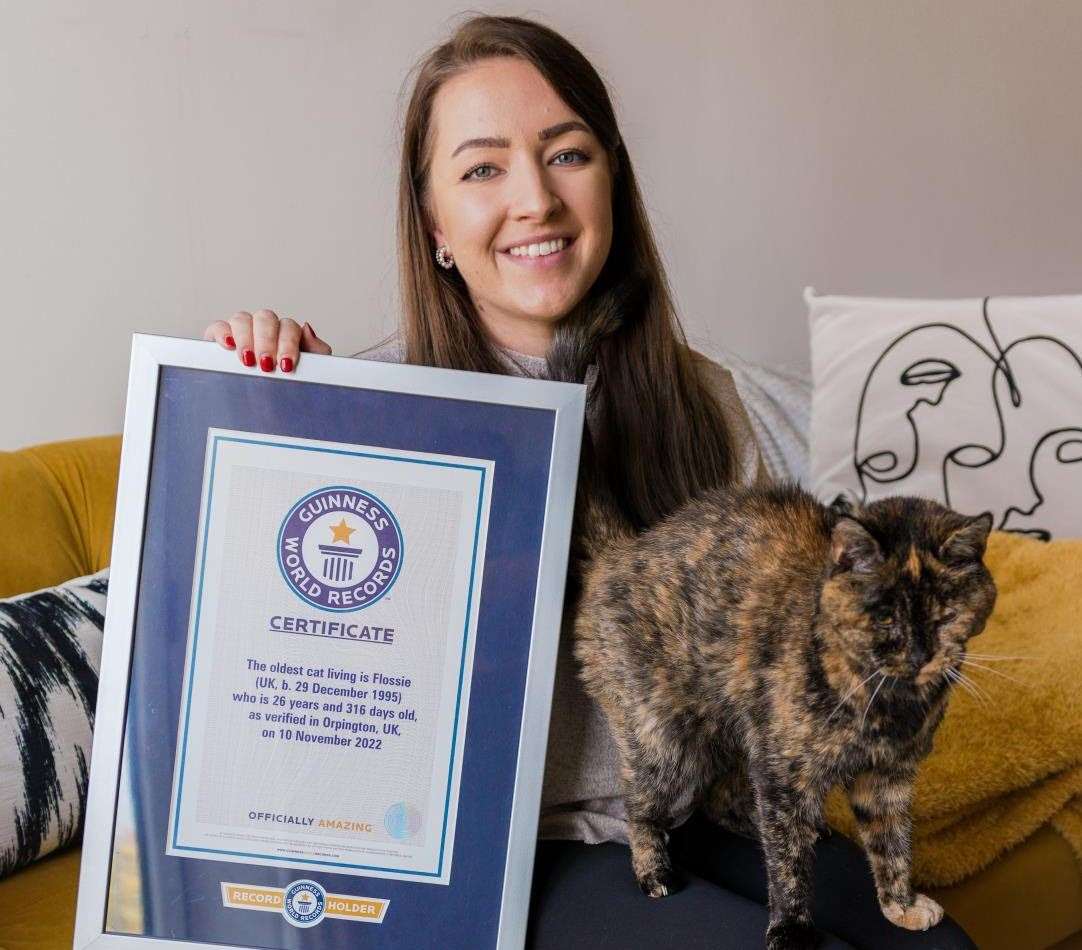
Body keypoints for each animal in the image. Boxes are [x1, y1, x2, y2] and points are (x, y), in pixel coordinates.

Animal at [571, 482, 991, 950]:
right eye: (884, 617)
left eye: (945, 617)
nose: (920, 657)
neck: (886, 706)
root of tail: (621, 552)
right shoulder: (782, 773)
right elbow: (788, 864)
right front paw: (791, 929)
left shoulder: (888, 776)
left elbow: (893, 841)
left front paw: (901, 905)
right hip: (664, 743)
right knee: (643, 807)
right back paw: (654, 872)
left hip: (738, 735)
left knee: (727, 801)